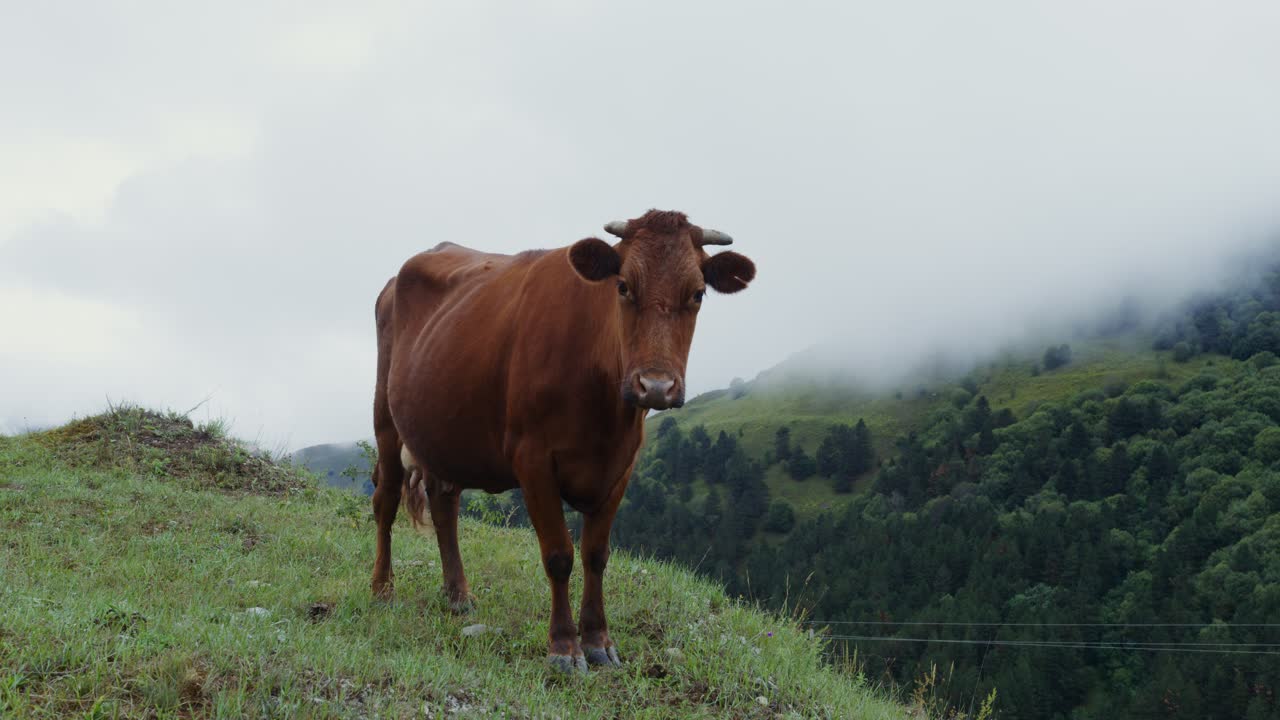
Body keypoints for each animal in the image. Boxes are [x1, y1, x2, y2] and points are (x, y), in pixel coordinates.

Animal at [369, 209, 755, 672]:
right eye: (623, 286)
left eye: (698, 293)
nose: (656, 387)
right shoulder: (532, 458)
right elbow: (558, 554)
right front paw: (564, 646)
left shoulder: (622, 466)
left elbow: (596, 554)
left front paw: (599, 640)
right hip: (385, 417)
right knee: (386, 500)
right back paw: (382, 589)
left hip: (445, 433)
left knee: (444, 505)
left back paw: (458, 595)